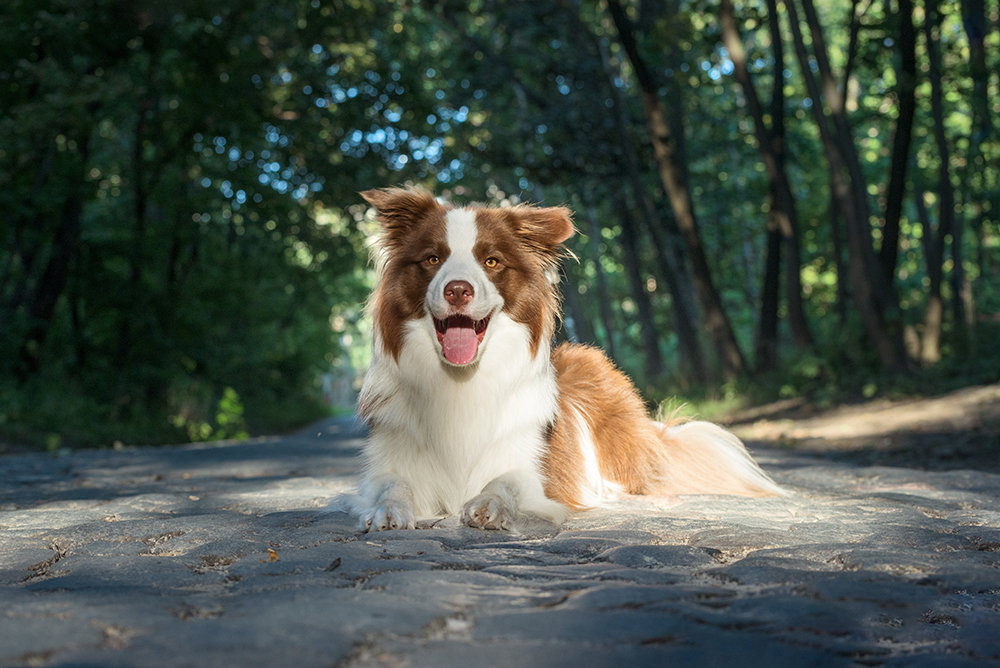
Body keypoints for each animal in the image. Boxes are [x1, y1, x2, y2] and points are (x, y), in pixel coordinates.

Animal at [348, 187, 784, 532]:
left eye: (491, 262)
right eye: (432, 259)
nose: (458, 290)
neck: (460, 381)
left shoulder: (536, 470)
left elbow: (506, 480)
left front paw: (490, 504)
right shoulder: (394, 459)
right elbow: (392, 484)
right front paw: (387, 510)